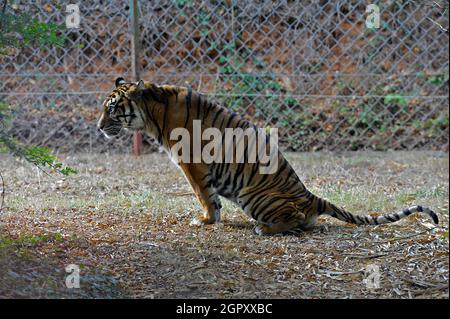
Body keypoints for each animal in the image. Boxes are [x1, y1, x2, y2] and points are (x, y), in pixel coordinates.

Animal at [96, 77, 440, 236]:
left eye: (112, 109)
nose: (98, 127)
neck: (153, 114)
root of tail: (312, 196)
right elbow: (212, 197)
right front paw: (213, 218)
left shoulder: (192, 164)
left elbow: (204, 195)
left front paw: (206, 220)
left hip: (251, 194)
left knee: (297, 219)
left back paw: (264, 228)